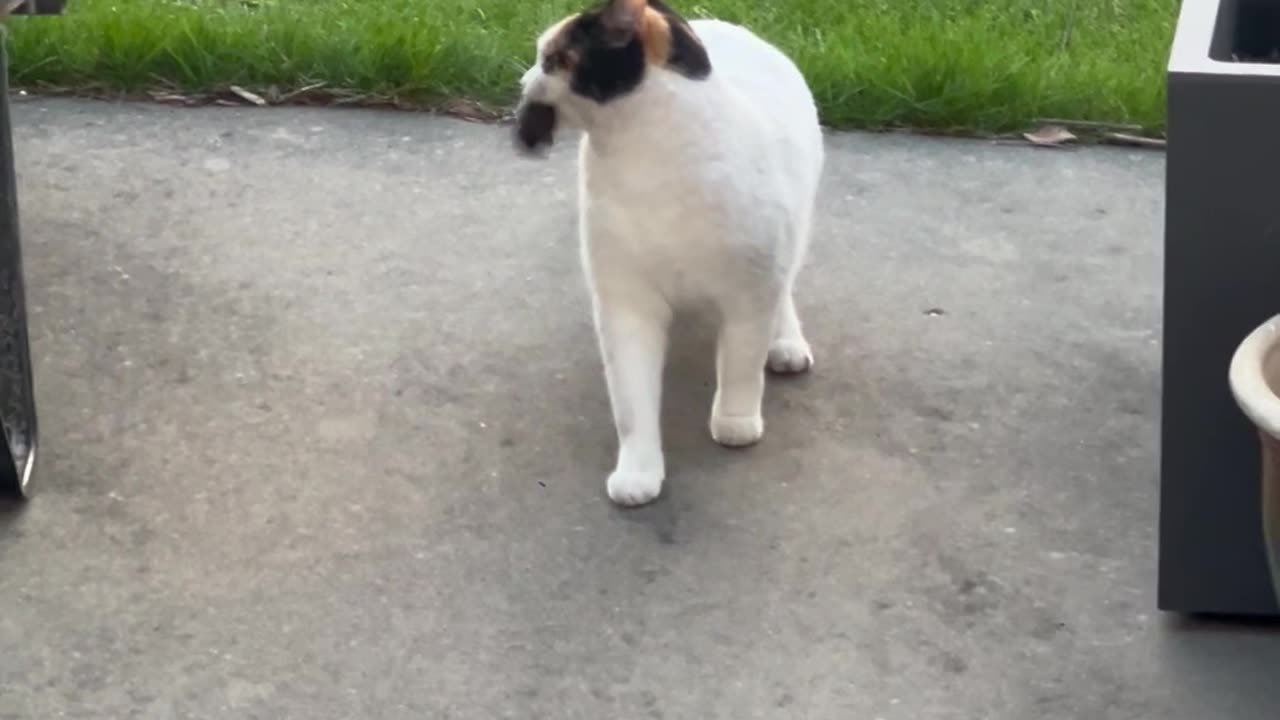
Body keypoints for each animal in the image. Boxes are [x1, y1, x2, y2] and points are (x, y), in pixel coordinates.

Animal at [514, 0, 824, 504]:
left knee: (784, 290)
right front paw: (638, 472)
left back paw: (787, 343)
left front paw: (735, 421)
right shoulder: (625, 305)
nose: (524, 78)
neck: (646, 160)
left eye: (553, 59)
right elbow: (632, 401)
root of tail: (722, 23)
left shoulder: (749, 295)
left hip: (792, 233)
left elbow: (741, 366)